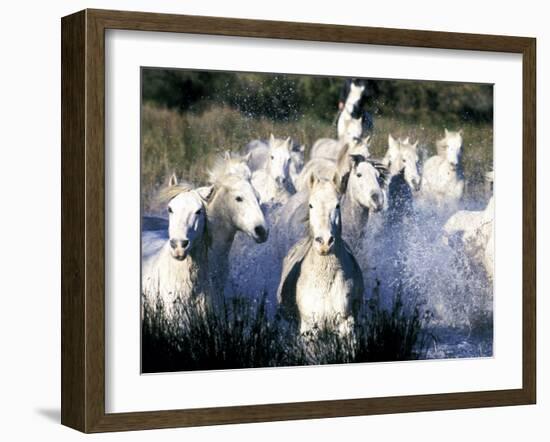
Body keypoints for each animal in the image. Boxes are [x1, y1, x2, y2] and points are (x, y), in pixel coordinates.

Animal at [278, 173, 364, 334]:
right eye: (311, 205)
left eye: (337, 205)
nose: (324, 242)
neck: (325, 280)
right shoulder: (309, 326)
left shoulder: (346, 322)